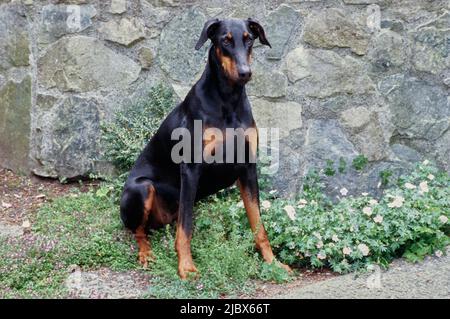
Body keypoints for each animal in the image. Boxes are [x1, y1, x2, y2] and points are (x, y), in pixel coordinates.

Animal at [119, 17, 290, 278]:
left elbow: (258, 223)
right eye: (225, 41)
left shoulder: (248, 167)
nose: (245, 73)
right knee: (139, 232)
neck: (228, 100)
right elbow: (186, 228)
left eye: (249, 39)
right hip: (142, 189)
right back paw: (146, 254)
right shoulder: (191, 169)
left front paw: (272, 263)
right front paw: (186, 267)